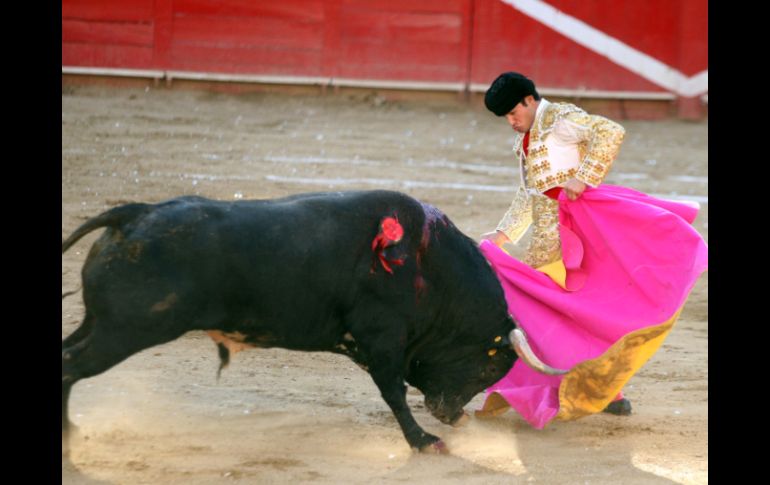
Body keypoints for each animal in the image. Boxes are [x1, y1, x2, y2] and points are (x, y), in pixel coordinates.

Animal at [63, 189, 524, 450]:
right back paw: (70, 435)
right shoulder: (382, 338)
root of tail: (133, 214)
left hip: (101, 324)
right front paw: (424, 441)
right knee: (71, 365)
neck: (431, 267)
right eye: (491, 368)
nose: (452, 415)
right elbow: (393, 392)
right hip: (125, 330)